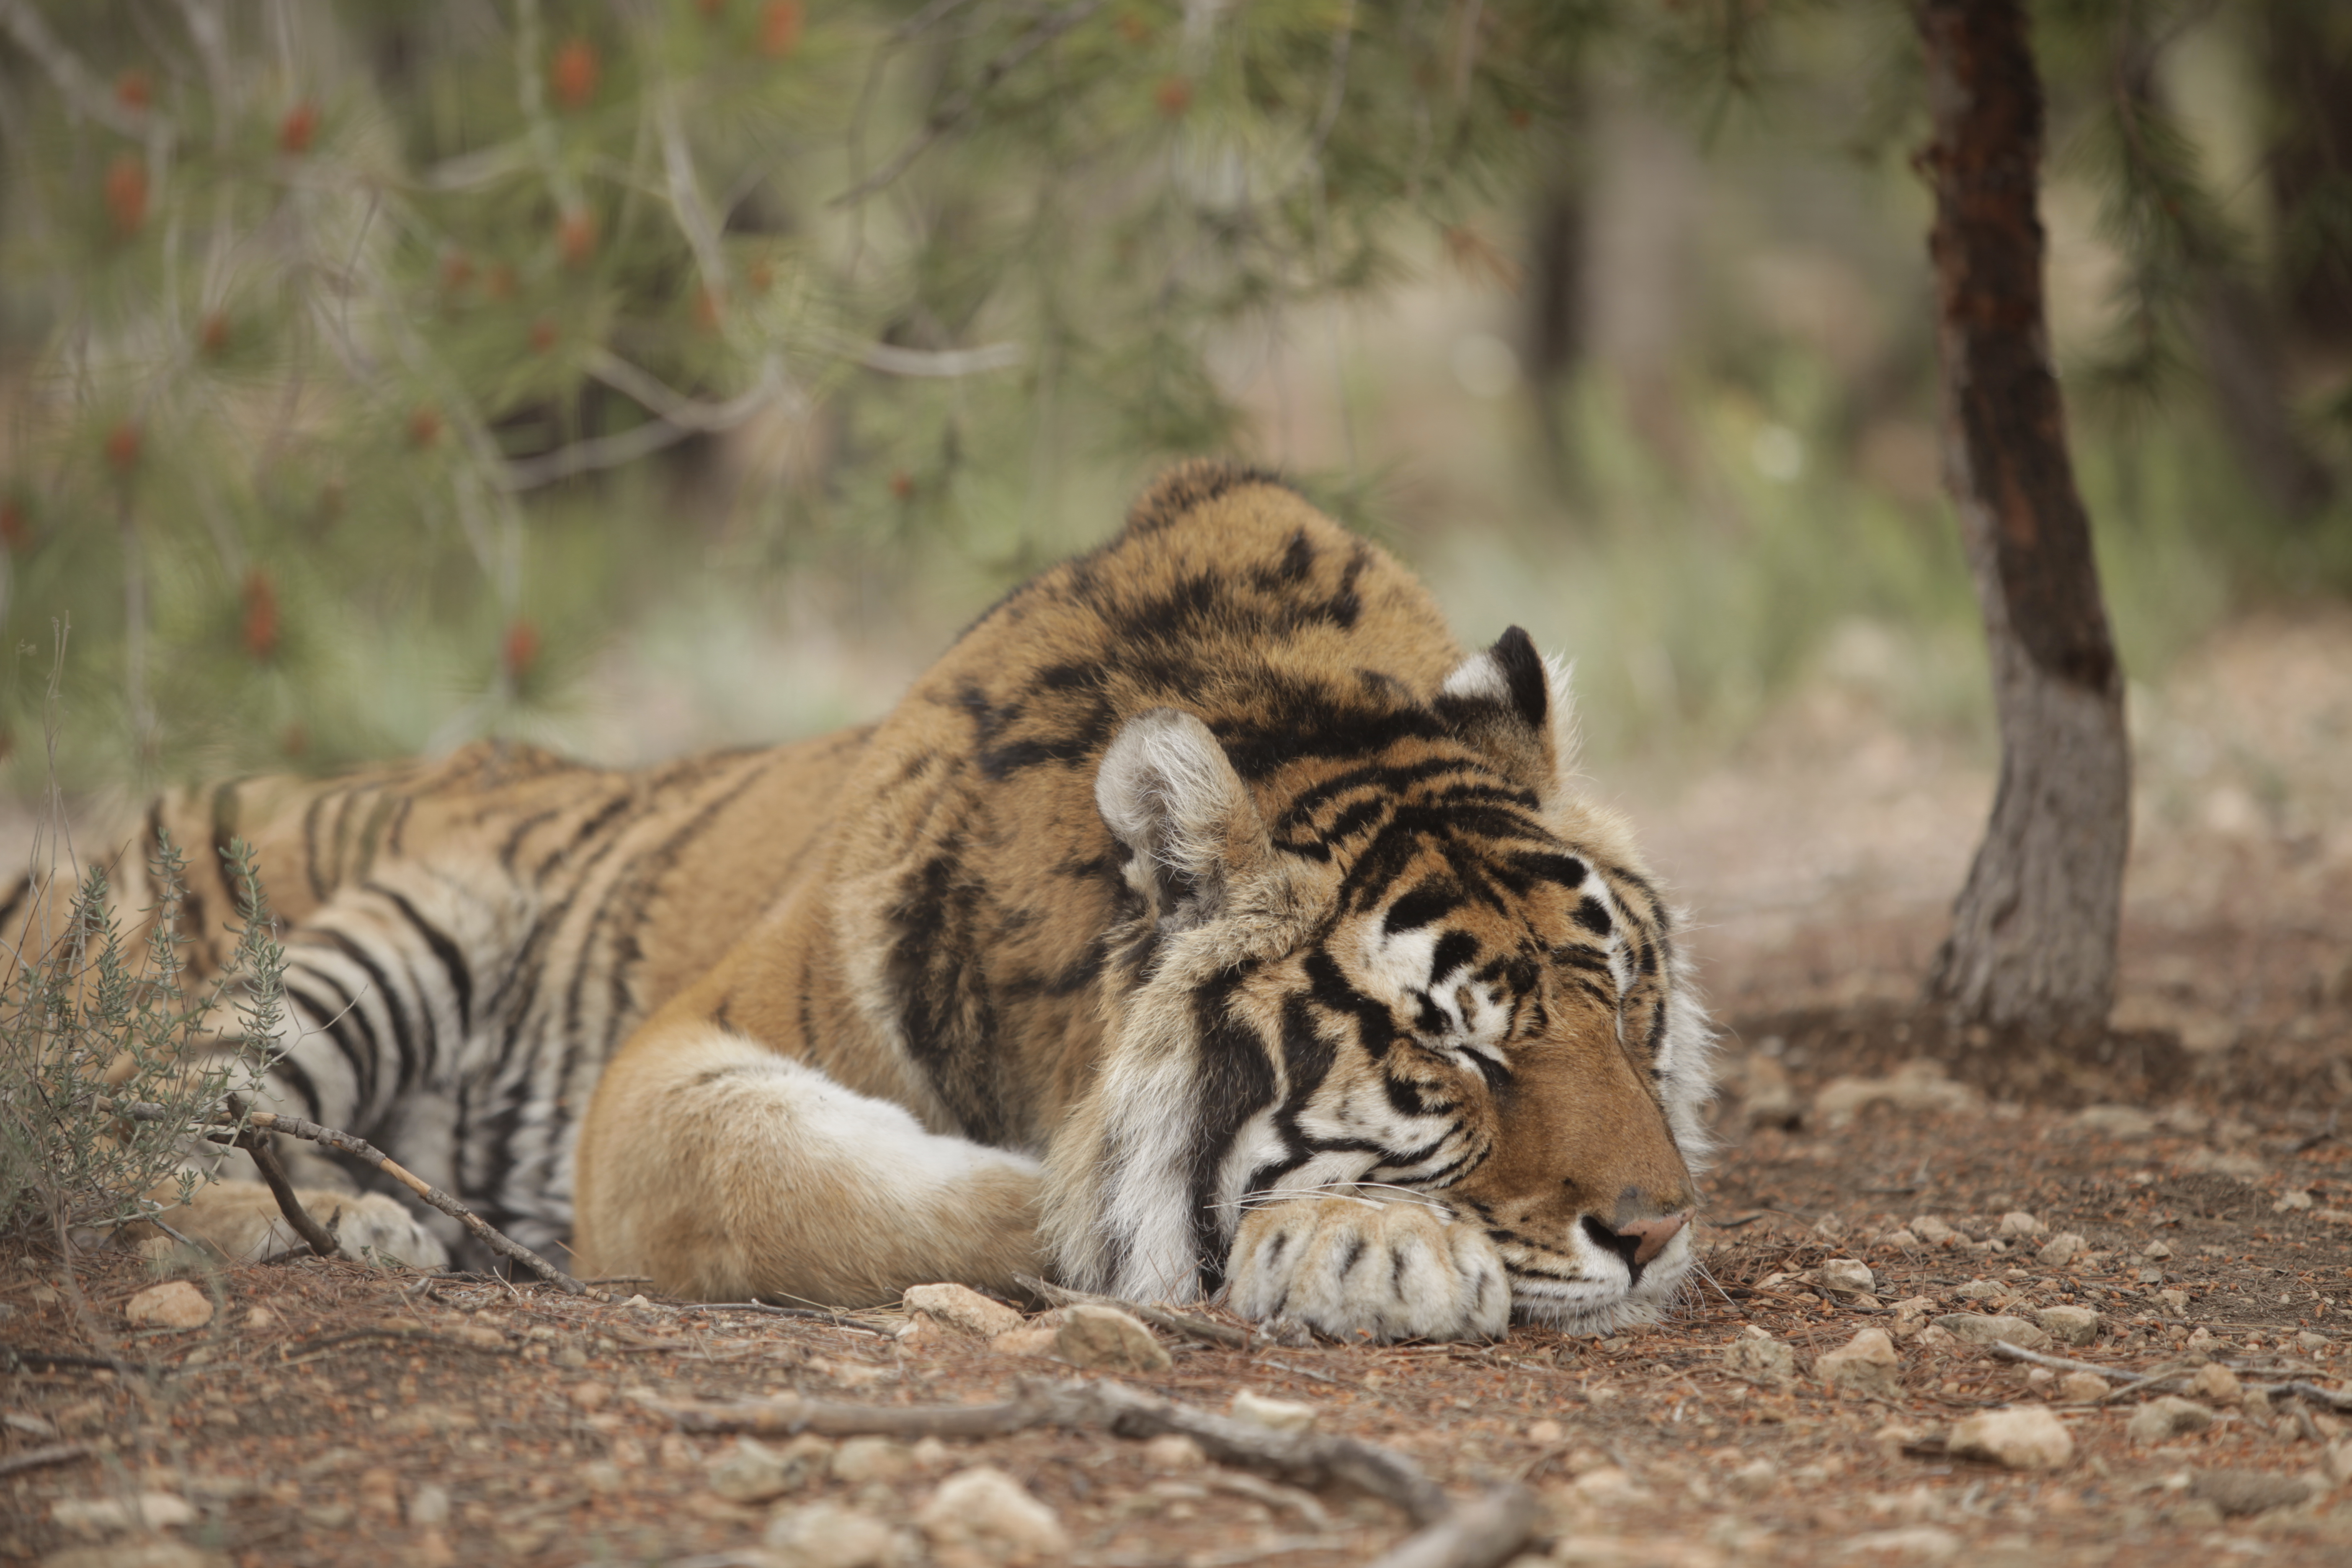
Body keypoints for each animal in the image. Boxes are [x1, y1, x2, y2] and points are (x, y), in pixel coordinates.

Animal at [13, 463, 1712, 1335]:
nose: (1656, 1231)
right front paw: (1367, 1241)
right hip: (364, 935)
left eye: (1629, 1003)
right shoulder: (677, 1059)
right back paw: (363, 1225)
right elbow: (895, 1192)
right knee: (138, 1154)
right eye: (1449, 1049)